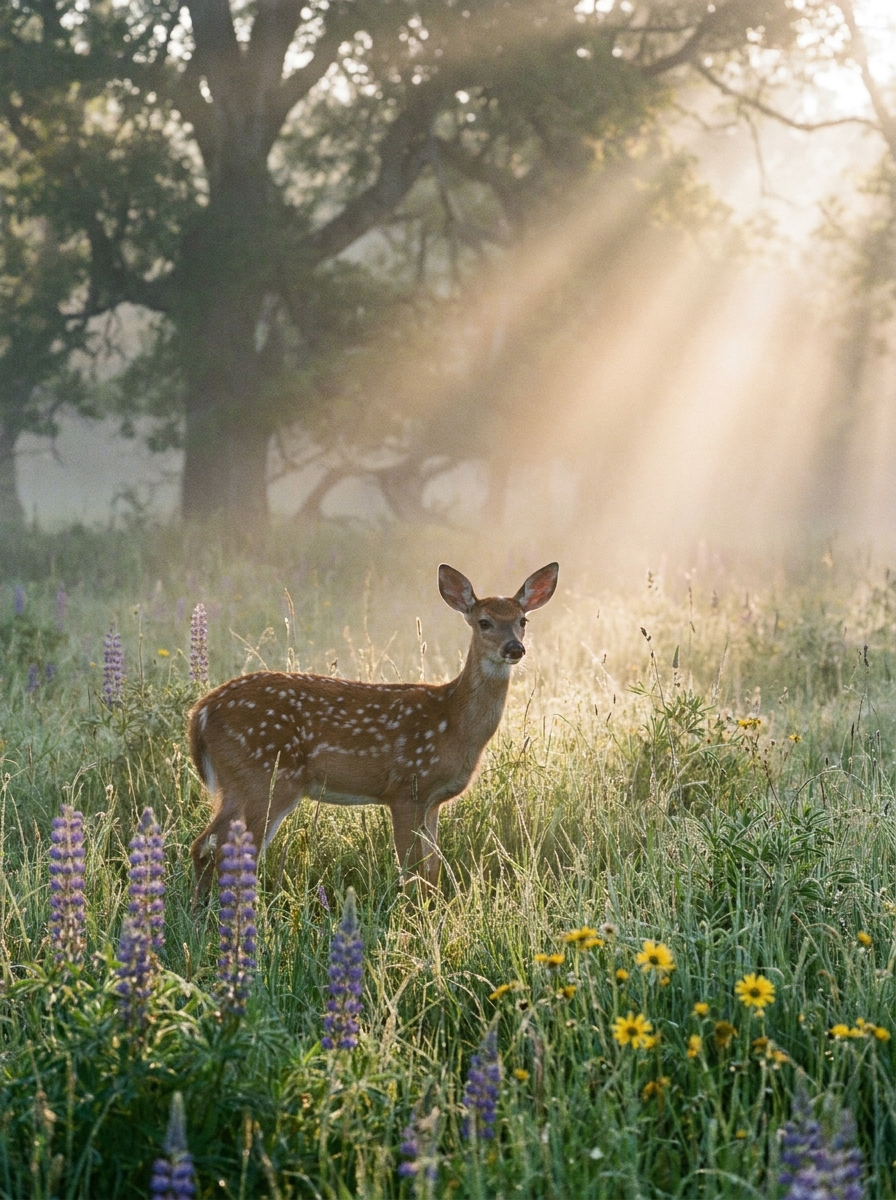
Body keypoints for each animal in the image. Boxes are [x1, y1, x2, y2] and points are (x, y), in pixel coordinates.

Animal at [187, 562, 559, 896]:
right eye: (484, 622)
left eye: (522, 620)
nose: (514, 648)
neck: (452, 722)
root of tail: (201, 712)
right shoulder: (406, 787)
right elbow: (410, 871)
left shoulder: (432, 800)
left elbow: (432, 870)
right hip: (268, 776)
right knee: (233, 853)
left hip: (236, 783)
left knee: (203, 845)